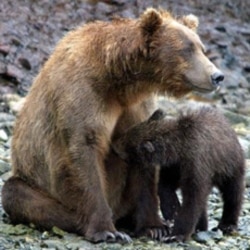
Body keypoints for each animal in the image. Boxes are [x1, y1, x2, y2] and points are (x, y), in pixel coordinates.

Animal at [1, 8, 224, 243]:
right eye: (186, 49)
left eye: (202, 48)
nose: (217, 76)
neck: (118, 80)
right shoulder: (83, 95)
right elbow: (85, 155)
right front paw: (107, 231)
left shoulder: (136, 108)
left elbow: (142, 159)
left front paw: (154, 227)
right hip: (33, 180)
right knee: (16, 194)